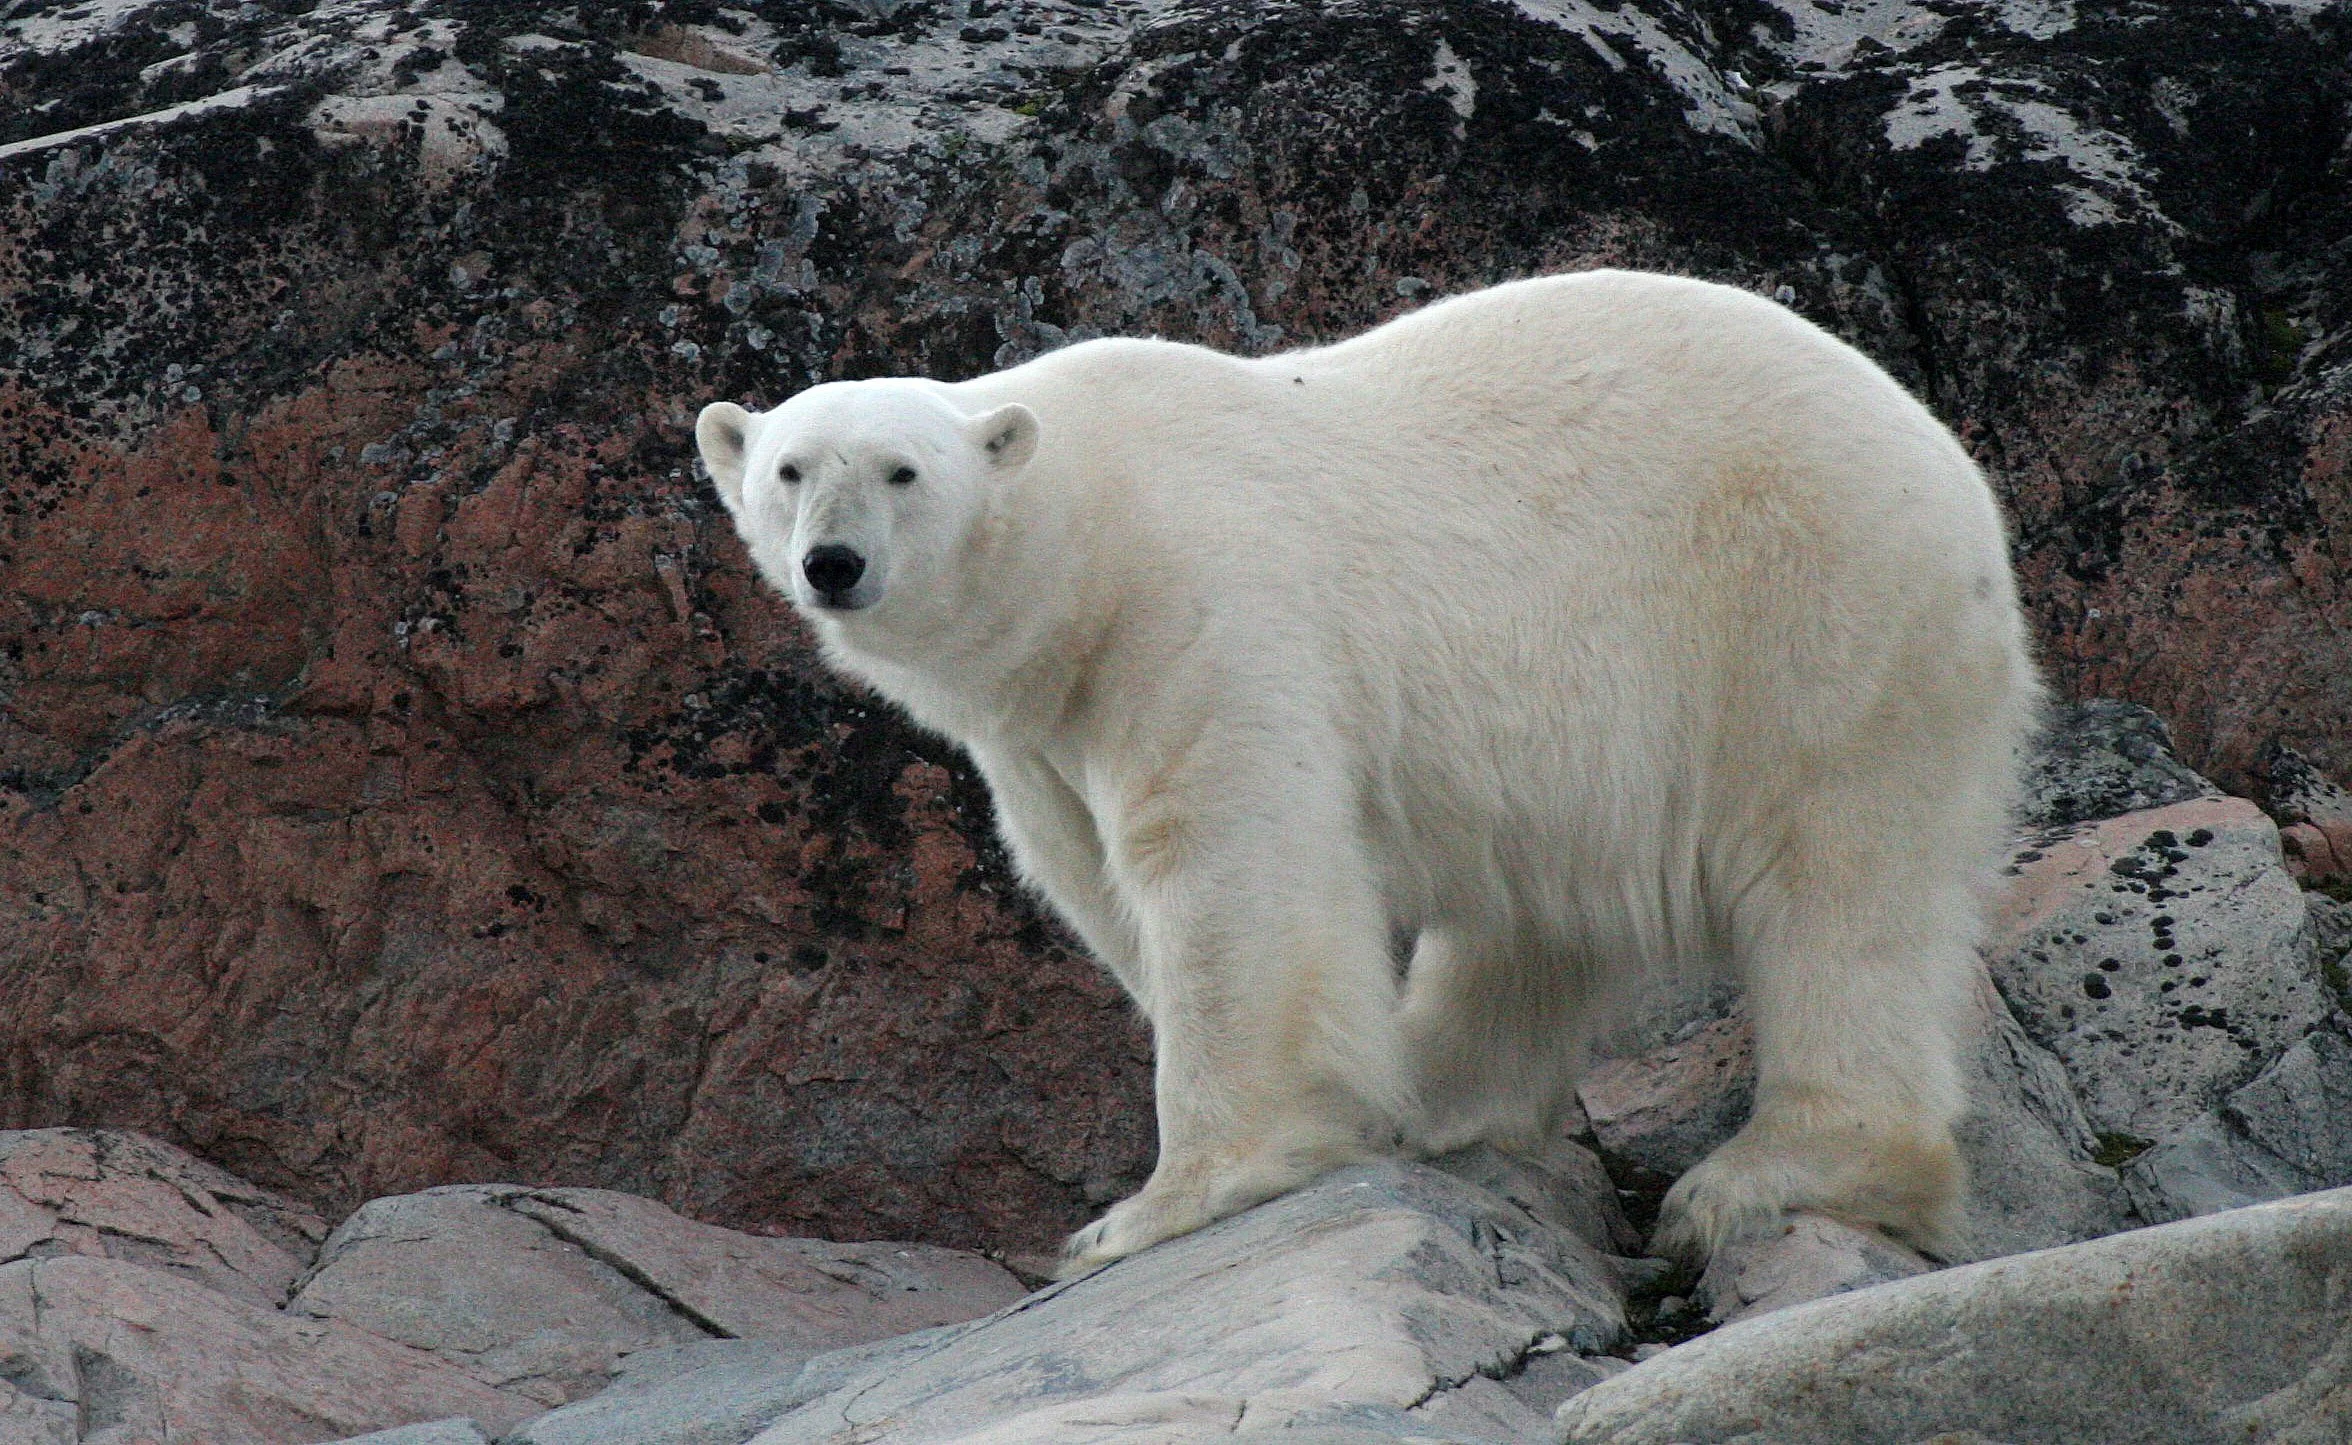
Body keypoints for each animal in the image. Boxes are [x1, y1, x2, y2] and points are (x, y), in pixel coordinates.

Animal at [695, 269, 2042, 1276]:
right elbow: (1087, 874)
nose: (833, 563)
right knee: (1531, 922)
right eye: (789, 469)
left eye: (903, 470)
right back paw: (1439, 1100)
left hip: (1811, 610)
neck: (1083, 535)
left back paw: (1766, 1173)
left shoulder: (1201, 601)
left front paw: (1155, 1202)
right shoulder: (1039, 724)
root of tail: (1955, 471)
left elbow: (1225, 856)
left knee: (1841, 885)